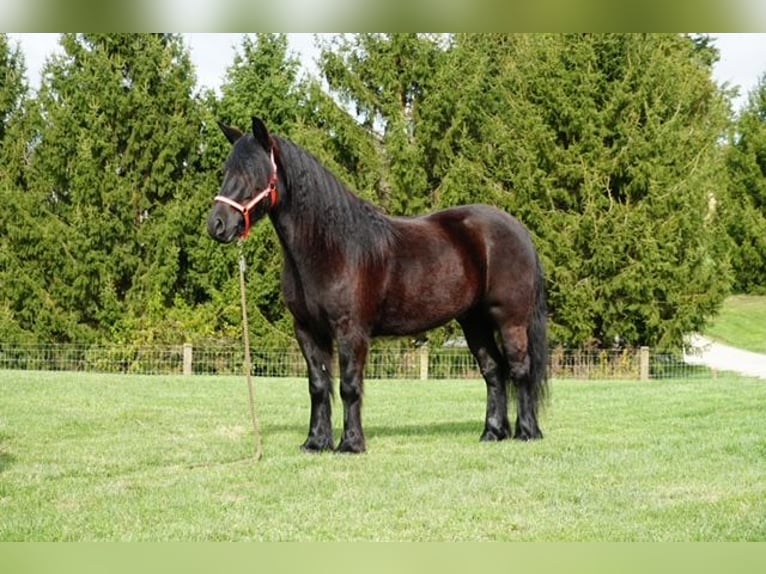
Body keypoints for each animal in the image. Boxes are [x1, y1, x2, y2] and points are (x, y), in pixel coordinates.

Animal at [207, 117, 548, 454]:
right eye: (226, 170)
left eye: (254, 172)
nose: (217, 225)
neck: (330, 247)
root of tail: (519, 230)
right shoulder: (307, 330)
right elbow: (318, 385)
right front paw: (316, 442)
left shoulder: (351, 330)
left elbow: (349, 385)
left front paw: (350, 444)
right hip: (474, 322)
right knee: (494, 371)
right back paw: (492, 433)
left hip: (510, 320)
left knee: (520, 369)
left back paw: (527, 432)